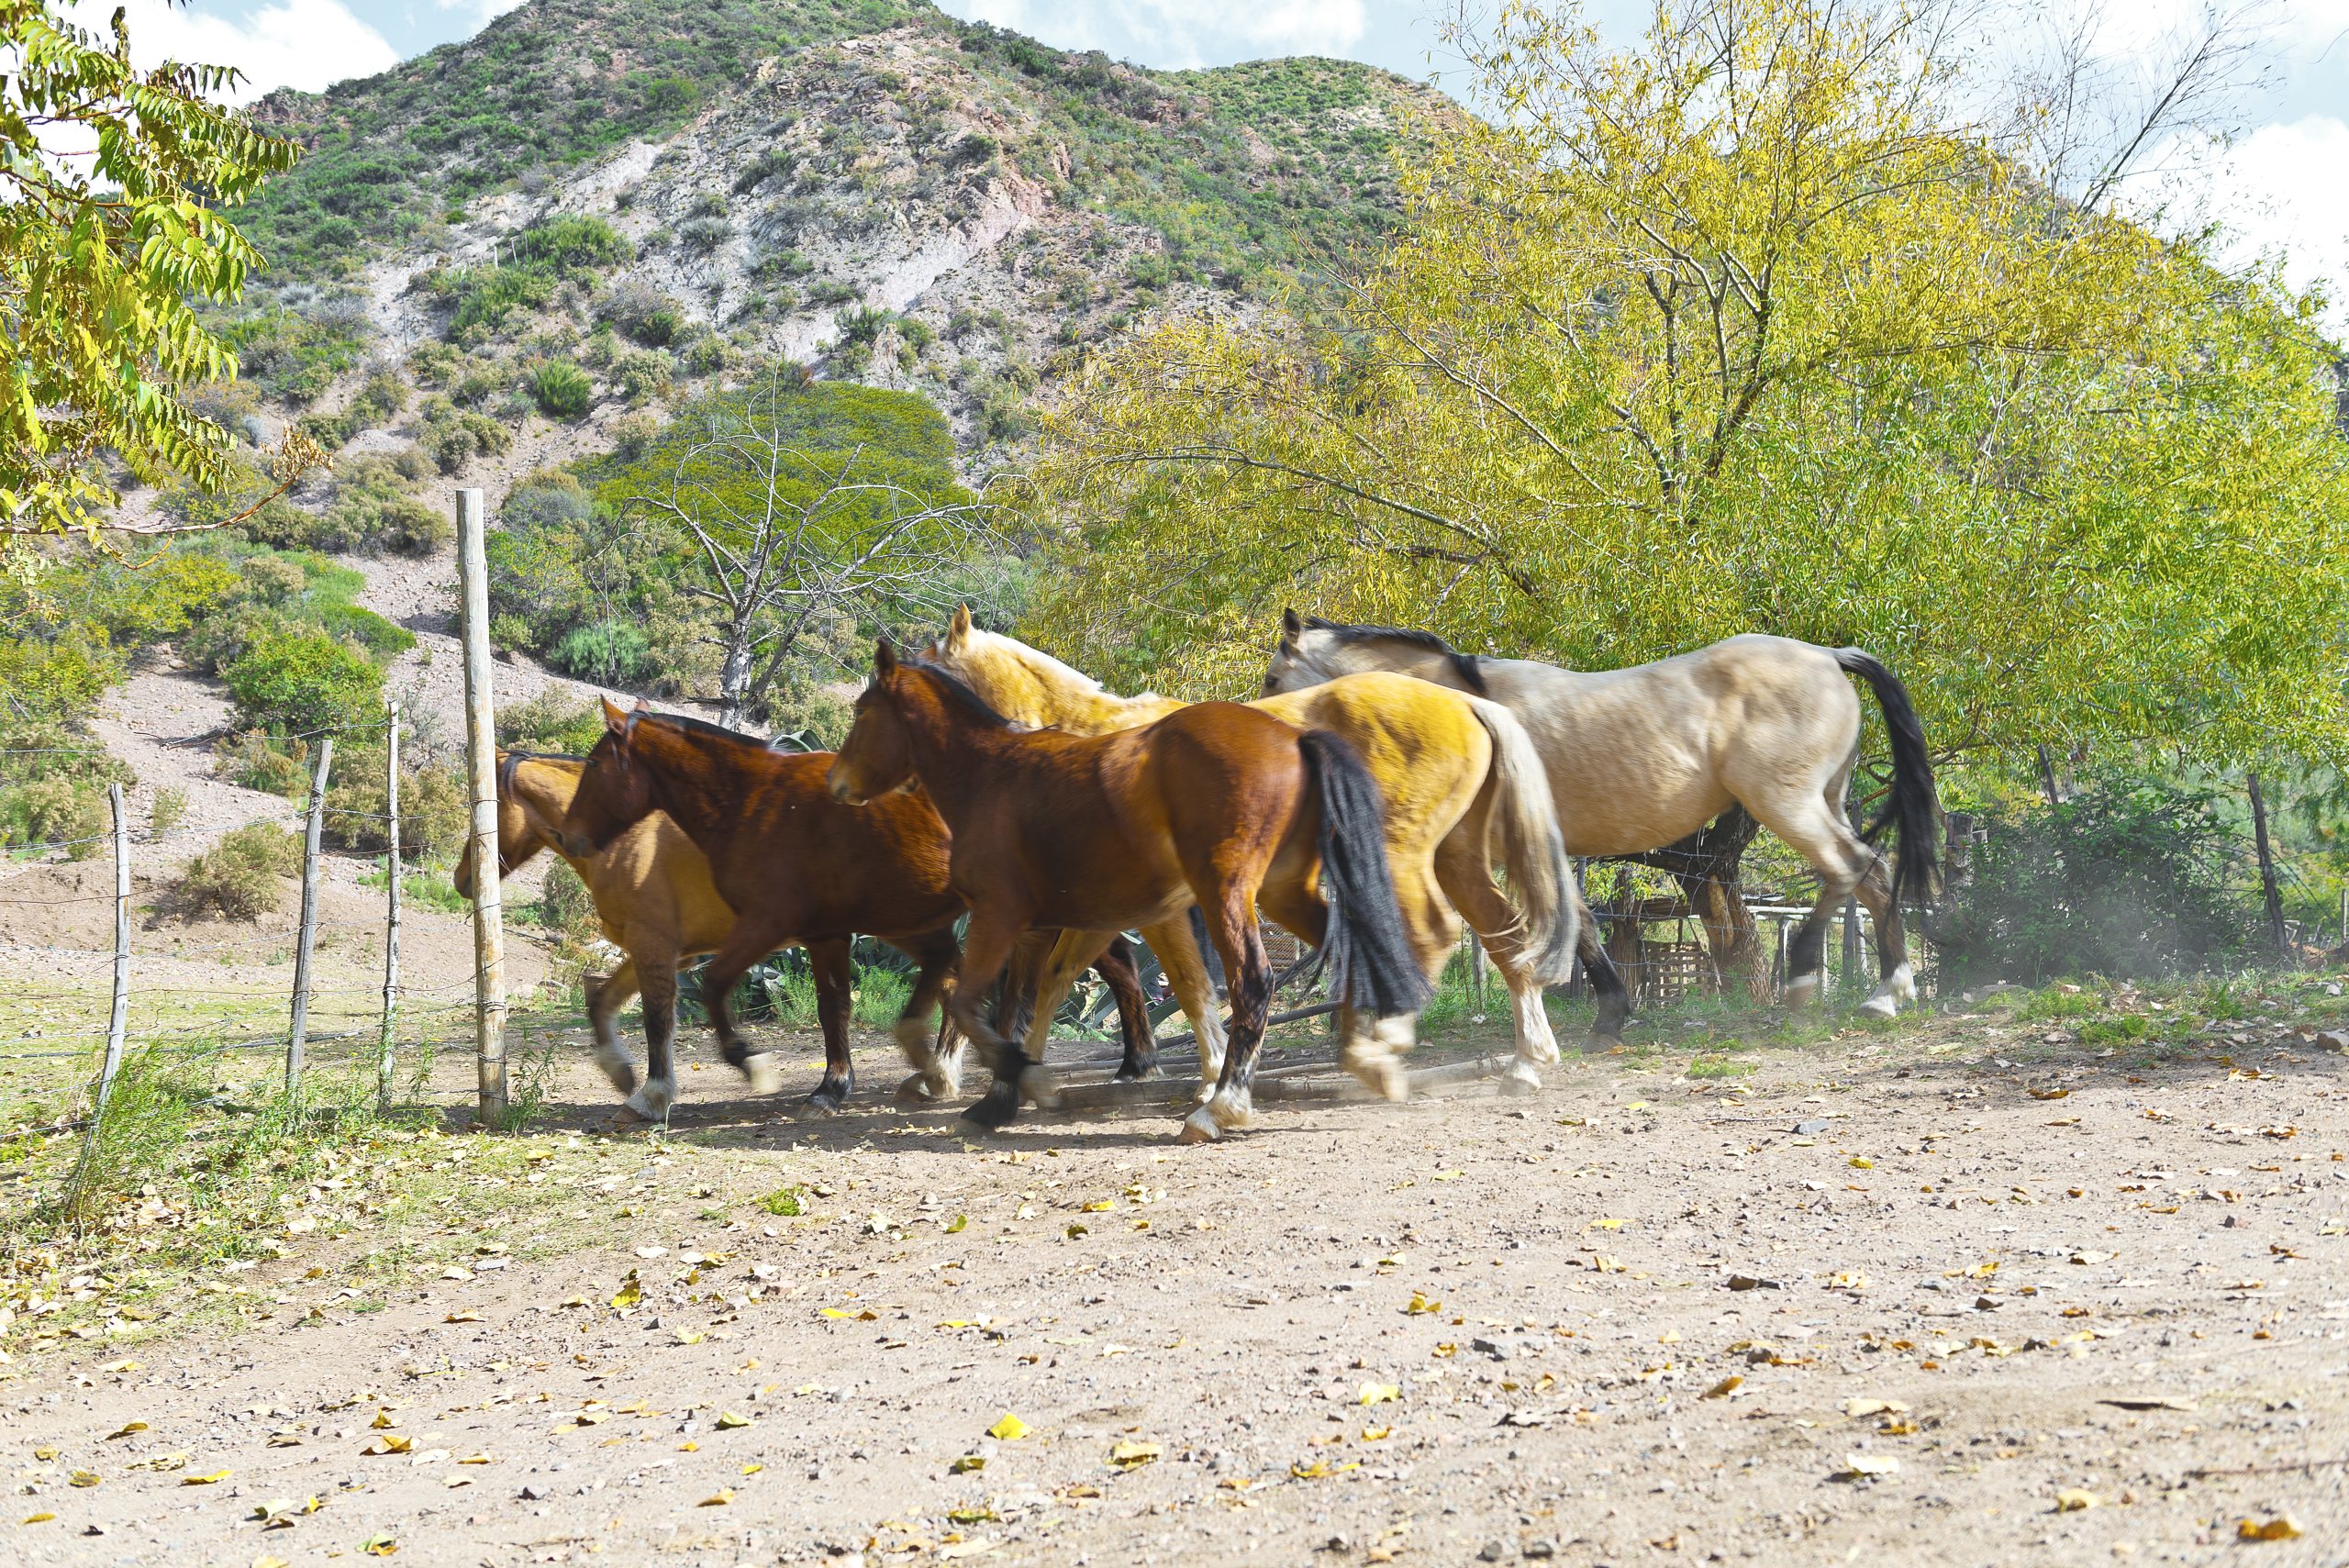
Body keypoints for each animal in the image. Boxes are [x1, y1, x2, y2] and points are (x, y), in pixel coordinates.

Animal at [827, 642, 1432, 1143]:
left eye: (861, 713)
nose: (836, 784)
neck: (993, 775)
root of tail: (1295, 737)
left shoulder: (997, 918)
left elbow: (971, 1004)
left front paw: (1015, 1082)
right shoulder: (1036, 930)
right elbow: (1020, 1008)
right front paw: (1001, 1099)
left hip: (1226, 894)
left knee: (1253, 983)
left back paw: (1221, 1107)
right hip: (1283, 893)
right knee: (1357, 953)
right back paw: (1370, 1059)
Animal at [922, 607, 1593, 1087]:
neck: (1095, 741)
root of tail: (1467, 702)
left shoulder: (1146, 910)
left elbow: (1171, 984)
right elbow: (1078, 979)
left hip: (1403, 858)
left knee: (1432, 933)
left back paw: (1387, 1039)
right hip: (1454, 860)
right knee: (1503, 937)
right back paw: (1526, 1060)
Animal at [1264, 613, 1942, 1018]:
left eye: (1273, 677)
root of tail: (1828, 655)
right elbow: (1584, 924)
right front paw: (1612, 1012)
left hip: (1787, 805)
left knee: (1850, 867)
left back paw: (1807, 977)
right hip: (1824, 801)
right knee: (1875, 876)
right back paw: (1890, 992)